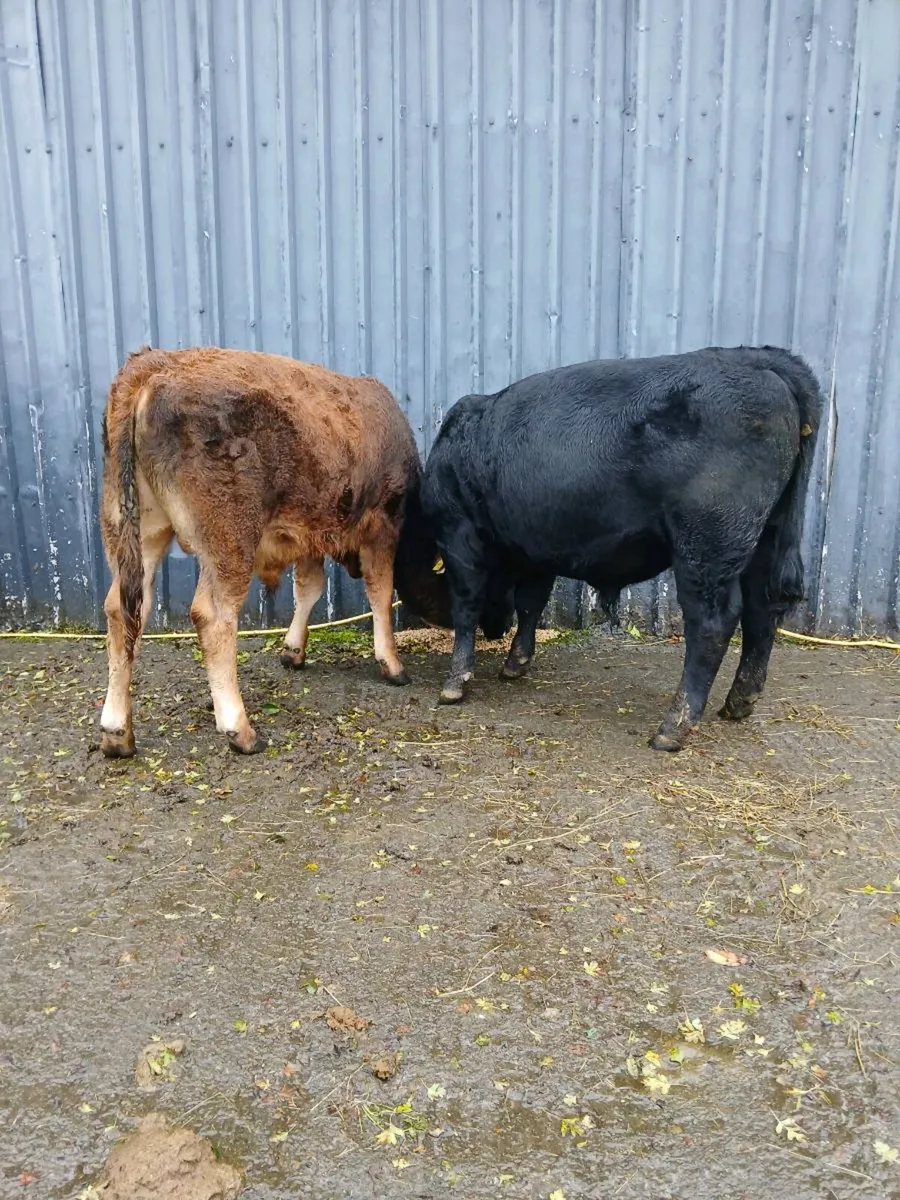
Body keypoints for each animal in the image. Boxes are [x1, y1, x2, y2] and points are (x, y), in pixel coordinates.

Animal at [98, 347, 443, 758]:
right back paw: (239, 728)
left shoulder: (309, 534)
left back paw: (117, 732)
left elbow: (309, 588)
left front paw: (293, 650)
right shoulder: (382, 526)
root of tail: (153, 365)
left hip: (140, 532)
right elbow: (380, 592)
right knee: (212, 617)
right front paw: (391, 662)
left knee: (123, 611)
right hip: (229, 541)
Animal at [410, 345, 822, 751]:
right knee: (761, 609)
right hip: (764, 539)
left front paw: (455, 682)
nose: (496, 629)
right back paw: (740, 700)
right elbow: (530, 603)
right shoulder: (537, 549)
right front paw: (516, 663)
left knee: (713, 622)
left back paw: (673, 727)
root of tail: (754, 357)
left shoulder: (459, 534)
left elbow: (467, 605)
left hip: (706, 546)